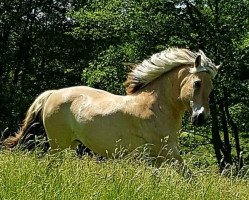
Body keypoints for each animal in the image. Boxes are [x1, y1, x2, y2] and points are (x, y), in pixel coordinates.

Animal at [2, 48, 219, 167]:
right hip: (58, 144)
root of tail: (53, 93)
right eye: (197, 83)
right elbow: (189, 177)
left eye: (211, 87)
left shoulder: (156, 157)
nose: (201, 117)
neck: (155, 107)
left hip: (69, 145)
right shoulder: (167, 152)